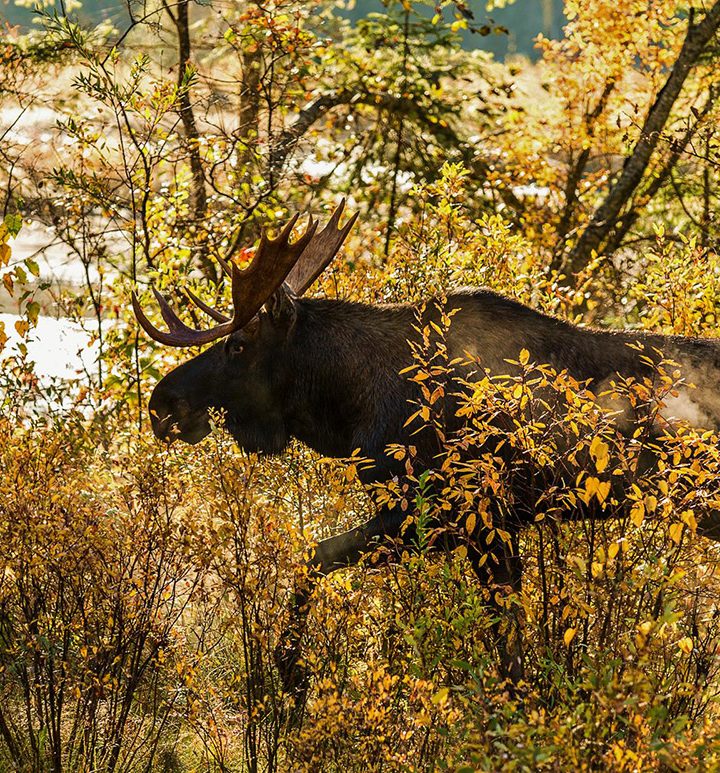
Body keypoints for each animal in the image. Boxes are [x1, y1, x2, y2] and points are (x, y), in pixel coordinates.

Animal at [132, 202, 720, 692]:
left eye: (237, 345)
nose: (162, 404)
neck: (353, 403)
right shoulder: (494, 524)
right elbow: (508, 640)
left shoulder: (446, 514)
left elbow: (316, 555)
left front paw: (289, 668)